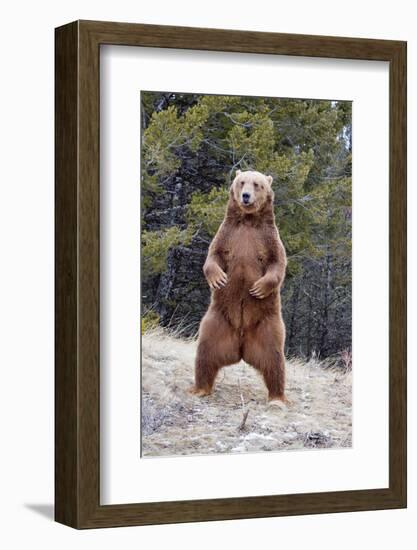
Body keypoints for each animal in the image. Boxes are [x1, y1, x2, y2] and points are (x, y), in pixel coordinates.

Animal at [190, 170, 288, 404]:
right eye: (241, 182)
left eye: (257, 184)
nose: (245, 196)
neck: (248, 221)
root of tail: (241, 349)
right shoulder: (227, 234)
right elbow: (213, 256)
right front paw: (218, 279)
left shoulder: (269, 239)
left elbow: (277, 263)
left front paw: (259, 287)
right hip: (217, 321)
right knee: (205, 354)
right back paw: (200, 388)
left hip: (267, 325)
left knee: (274, 361)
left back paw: (277, 398)